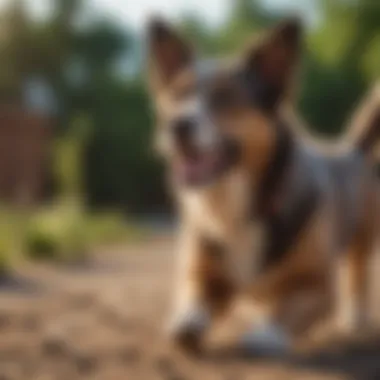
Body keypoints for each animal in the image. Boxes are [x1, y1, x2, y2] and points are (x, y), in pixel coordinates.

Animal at [146, 19, 380, 354]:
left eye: (225, 97)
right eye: (178, 95)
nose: (176, 125)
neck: (234, 203)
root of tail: (352, 150)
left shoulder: (317, 286)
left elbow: (287, 308)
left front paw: (265, 333)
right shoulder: (202, 274)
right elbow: (194, 298)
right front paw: (187, 321)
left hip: (362, 241)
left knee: (357, 275)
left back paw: (354, 318)